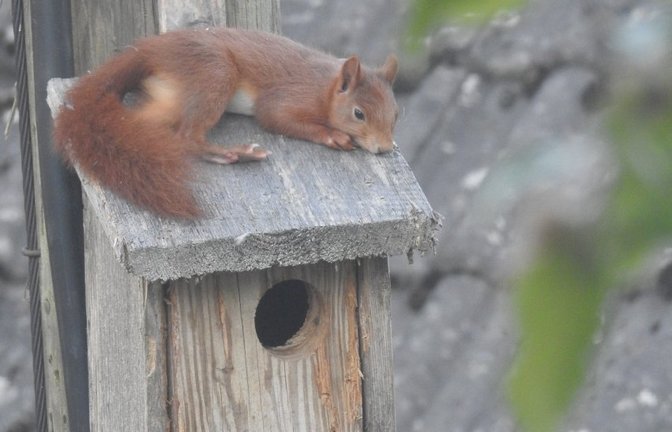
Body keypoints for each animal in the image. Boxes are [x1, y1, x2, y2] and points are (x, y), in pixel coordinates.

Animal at [53, 27, 399, 219]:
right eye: (359, 114)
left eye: (397, 113)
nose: (384, 148)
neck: (325, 87)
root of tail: (149, 49)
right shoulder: (289, 97)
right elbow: (275, 117)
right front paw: (333, 136)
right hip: (214, 72)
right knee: (187, 137)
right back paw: (233, 154)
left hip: (172, 97)